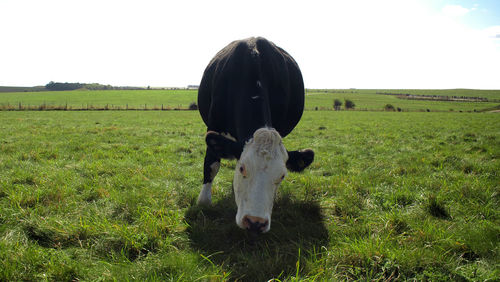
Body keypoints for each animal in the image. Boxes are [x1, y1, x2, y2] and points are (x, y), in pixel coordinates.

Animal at [197, 36, 314, 232]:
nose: (255, 222)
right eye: (242, 168)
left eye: (282, 176)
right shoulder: (213, 127)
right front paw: (204, 201)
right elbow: (211, 166)